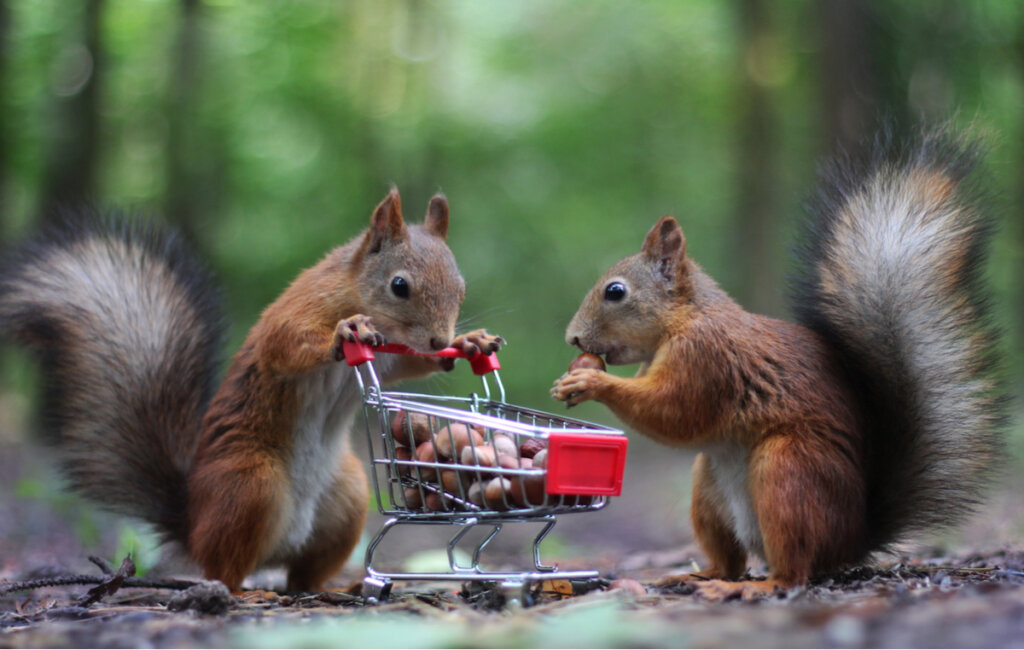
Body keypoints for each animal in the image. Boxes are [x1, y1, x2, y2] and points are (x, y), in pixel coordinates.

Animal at [0, 188, 503, 593]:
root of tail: (193, 522)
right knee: (224, 569)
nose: (440, 338)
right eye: (399, 285)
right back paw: (239, 593)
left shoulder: (394, 357)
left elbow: (412, 365)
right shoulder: (298, 310)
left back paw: (333, 587)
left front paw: (469, 343)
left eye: (461, 287)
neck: (358, 294)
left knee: (301, 577)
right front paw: (346, 331)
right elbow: (286, 345)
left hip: (347, 497)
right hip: (249, 483)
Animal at [557, 131, 1003, 601]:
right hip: (709, 488)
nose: (573, 338)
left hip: (788, 472)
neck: (684, 320)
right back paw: (697, 576)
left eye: (616, 291)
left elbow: (676, 412)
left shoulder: (707, 358)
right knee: (732, 562)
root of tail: (851, 541)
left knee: (794, 569)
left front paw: (591, 380)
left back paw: (755, 586)